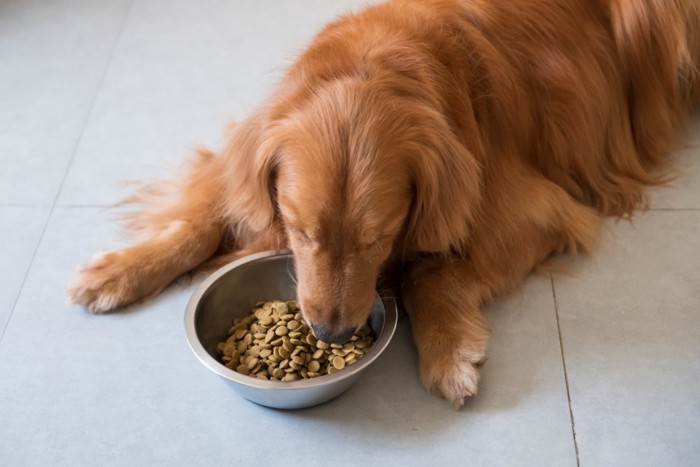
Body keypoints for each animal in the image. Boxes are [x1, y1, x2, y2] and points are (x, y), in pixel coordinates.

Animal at [67, 0, 700, 410]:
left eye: (378, 238)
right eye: (299, 231)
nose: (328, 333)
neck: (383, 59)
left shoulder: (539, 210)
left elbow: (429, 270)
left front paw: (448, 350)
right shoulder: (248, 145)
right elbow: (200, 217)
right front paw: (120, 270)